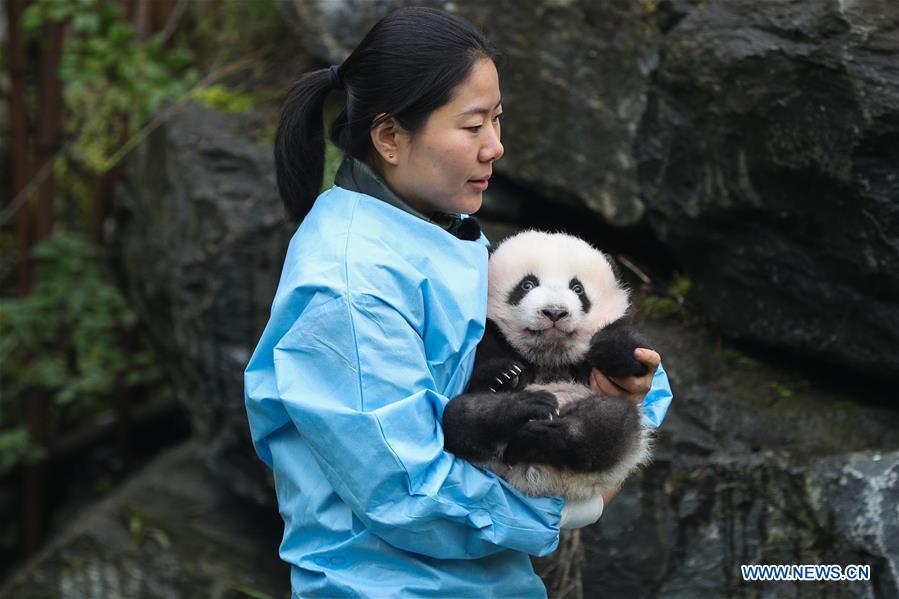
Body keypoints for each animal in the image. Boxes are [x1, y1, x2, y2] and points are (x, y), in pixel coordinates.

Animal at [442, 230, 653, 502]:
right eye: (527, 285)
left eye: (578, 289)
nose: (555, 312)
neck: (550, 356)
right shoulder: (490, 330)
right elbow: (484, 351)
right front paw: (504, 375)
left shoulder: (619, 326)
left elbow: (632, 347)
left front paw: (606, 349)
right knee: (460, 417)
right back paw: (524, 408)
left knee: (606, 424)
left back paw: (532, 438)